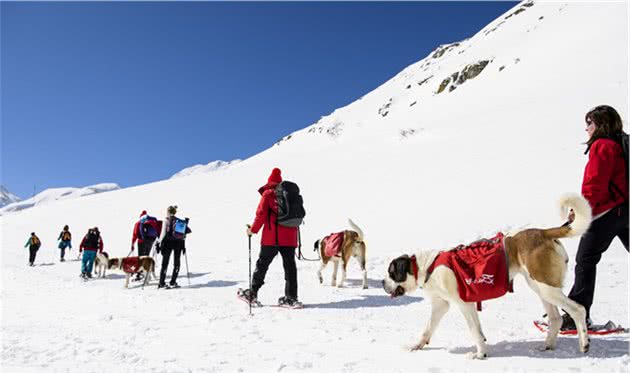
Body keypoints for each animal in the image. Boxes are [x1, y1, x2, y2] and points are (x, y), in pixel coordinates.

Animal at [382, 192, 596, 358]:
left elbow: (473, 330)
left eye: (391, 273)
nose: (383, 283)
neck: (426, 267)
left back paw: (584, 344)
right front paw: (416, 346)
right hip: (540, 287)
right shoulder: (442, 305)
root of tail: (543, 232)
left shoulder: (464, 303)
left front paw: (480, 354)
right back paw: (548, 346)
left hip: (546, 286)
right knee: (555, 318)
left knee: (578, 309)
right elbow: (430, 327)